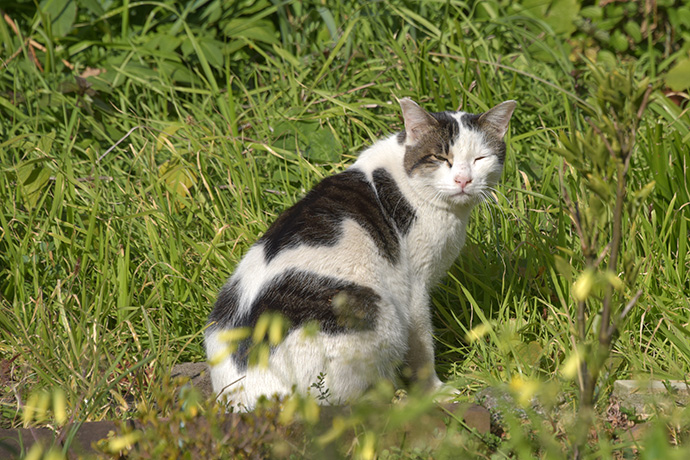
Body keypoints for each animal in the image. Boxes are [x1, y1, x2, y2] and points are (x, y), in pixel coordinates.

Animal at [204, 96, 516, 410]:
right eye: (441, 158)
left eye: (480, 159)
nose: (463, 180)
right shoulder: (414, 288)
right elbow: (422, 346)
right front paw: (435, 391)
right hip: (380, 315)